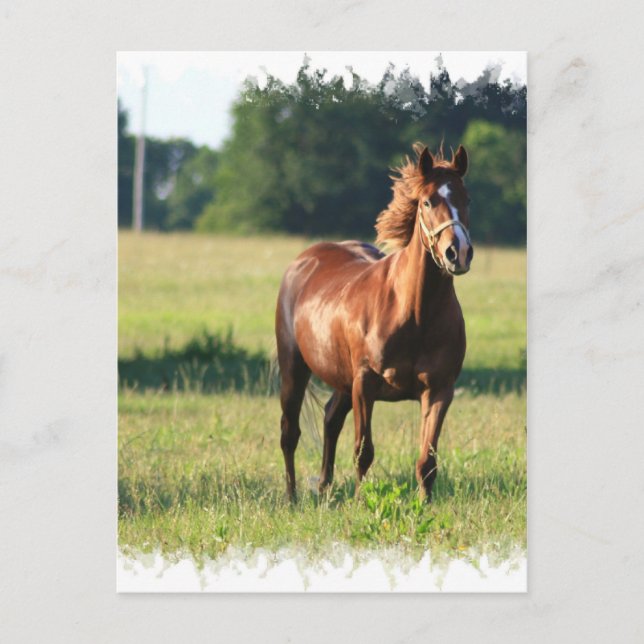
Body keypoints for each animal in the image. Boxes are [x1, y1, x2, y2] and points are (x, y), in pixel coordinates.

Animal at [275, 143, 473, 502]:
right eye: (427, 201)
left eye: (467, 199)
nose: (458, 252)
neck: (414, 314)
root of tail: (304, 260)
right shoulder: (365, 383)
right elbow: (363, 451)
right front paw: (359, 502)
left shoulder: (439, 390)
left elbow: (427, 461)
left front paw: (425, 505)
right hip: (295, 368)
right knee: (289, 432)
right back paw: (292, 497)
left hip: (342, 379)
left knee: (330, 419)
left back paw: (325, 488)